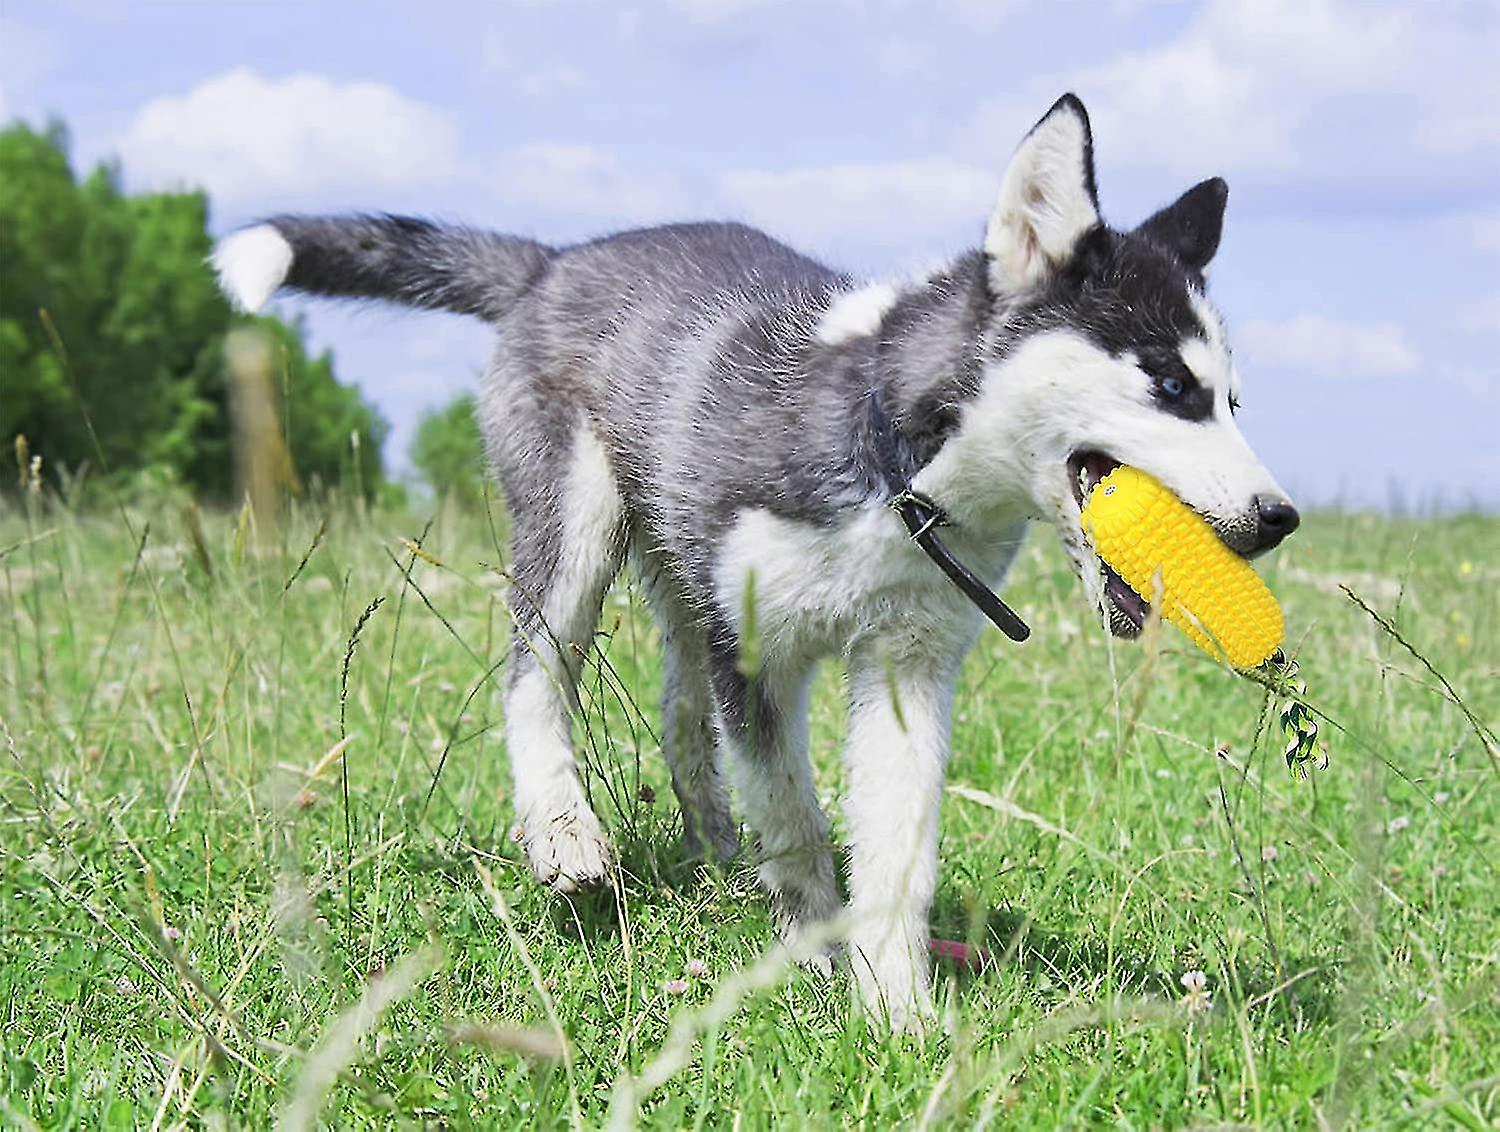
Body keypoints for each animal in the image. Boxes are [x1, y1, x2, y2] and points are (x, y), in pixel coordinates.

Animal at [214, 97, 1302, 1031]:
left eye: (1234, 400)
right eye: (1169, 383)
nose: (1278, 518)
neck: (901, 472)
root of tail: (556, 261)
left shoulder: (907, 664)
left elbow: (893, 849)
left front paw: (896, 1010)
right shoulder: (761, 656)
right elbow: (798, 816)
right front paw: (816, 949)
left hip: (684, 588)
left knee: (682, 723)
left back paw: (714, 861)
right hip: (578, 535)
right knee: (533, 674)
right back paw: (566, 829)